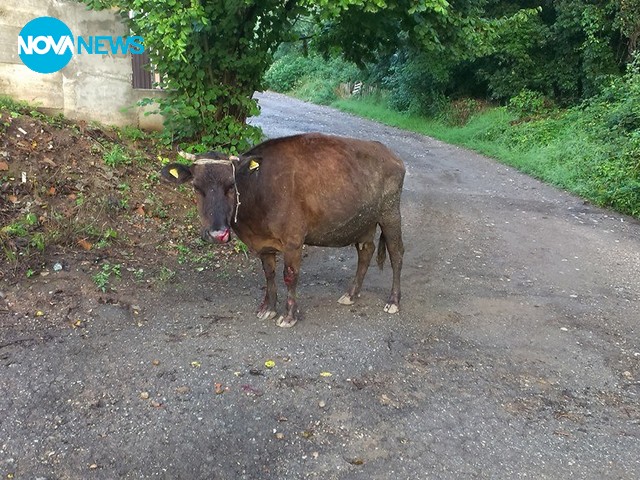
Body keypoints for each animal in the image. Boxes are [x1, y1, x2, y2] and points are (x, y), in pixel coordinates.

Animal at [161, 132, 404, 326]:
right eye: (196, 187)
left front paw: (289, 315)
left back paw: (393, 301)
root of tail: (388, 152)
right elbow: (269, 274)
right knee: (366, 251)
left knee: (396, 253)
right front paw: (268, 308)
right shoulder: (263, 243)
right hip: (363, 221)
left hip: (390, 213)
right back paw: (351, 294)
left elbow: (290, 275)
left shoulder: (294, 239)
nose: (217, 233)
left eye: (231, 185)